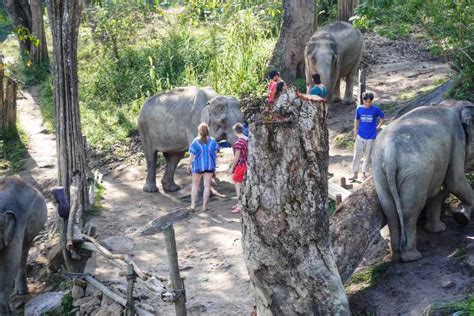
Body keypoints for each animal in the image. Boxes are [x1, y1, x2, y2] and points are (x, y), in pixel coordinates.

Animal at [374, 100, 474, 262]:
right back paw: (412, 257)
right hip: (415, 171)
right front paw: (459, 218)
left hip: (379, 171)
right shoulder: (457, 140)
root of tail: (390, 151)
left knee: (390, 211)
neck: (451, 105)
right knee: (411, 208)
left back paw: (395, 256)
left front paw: (439, 229)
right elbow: (454, 181)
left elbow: (438, 191)